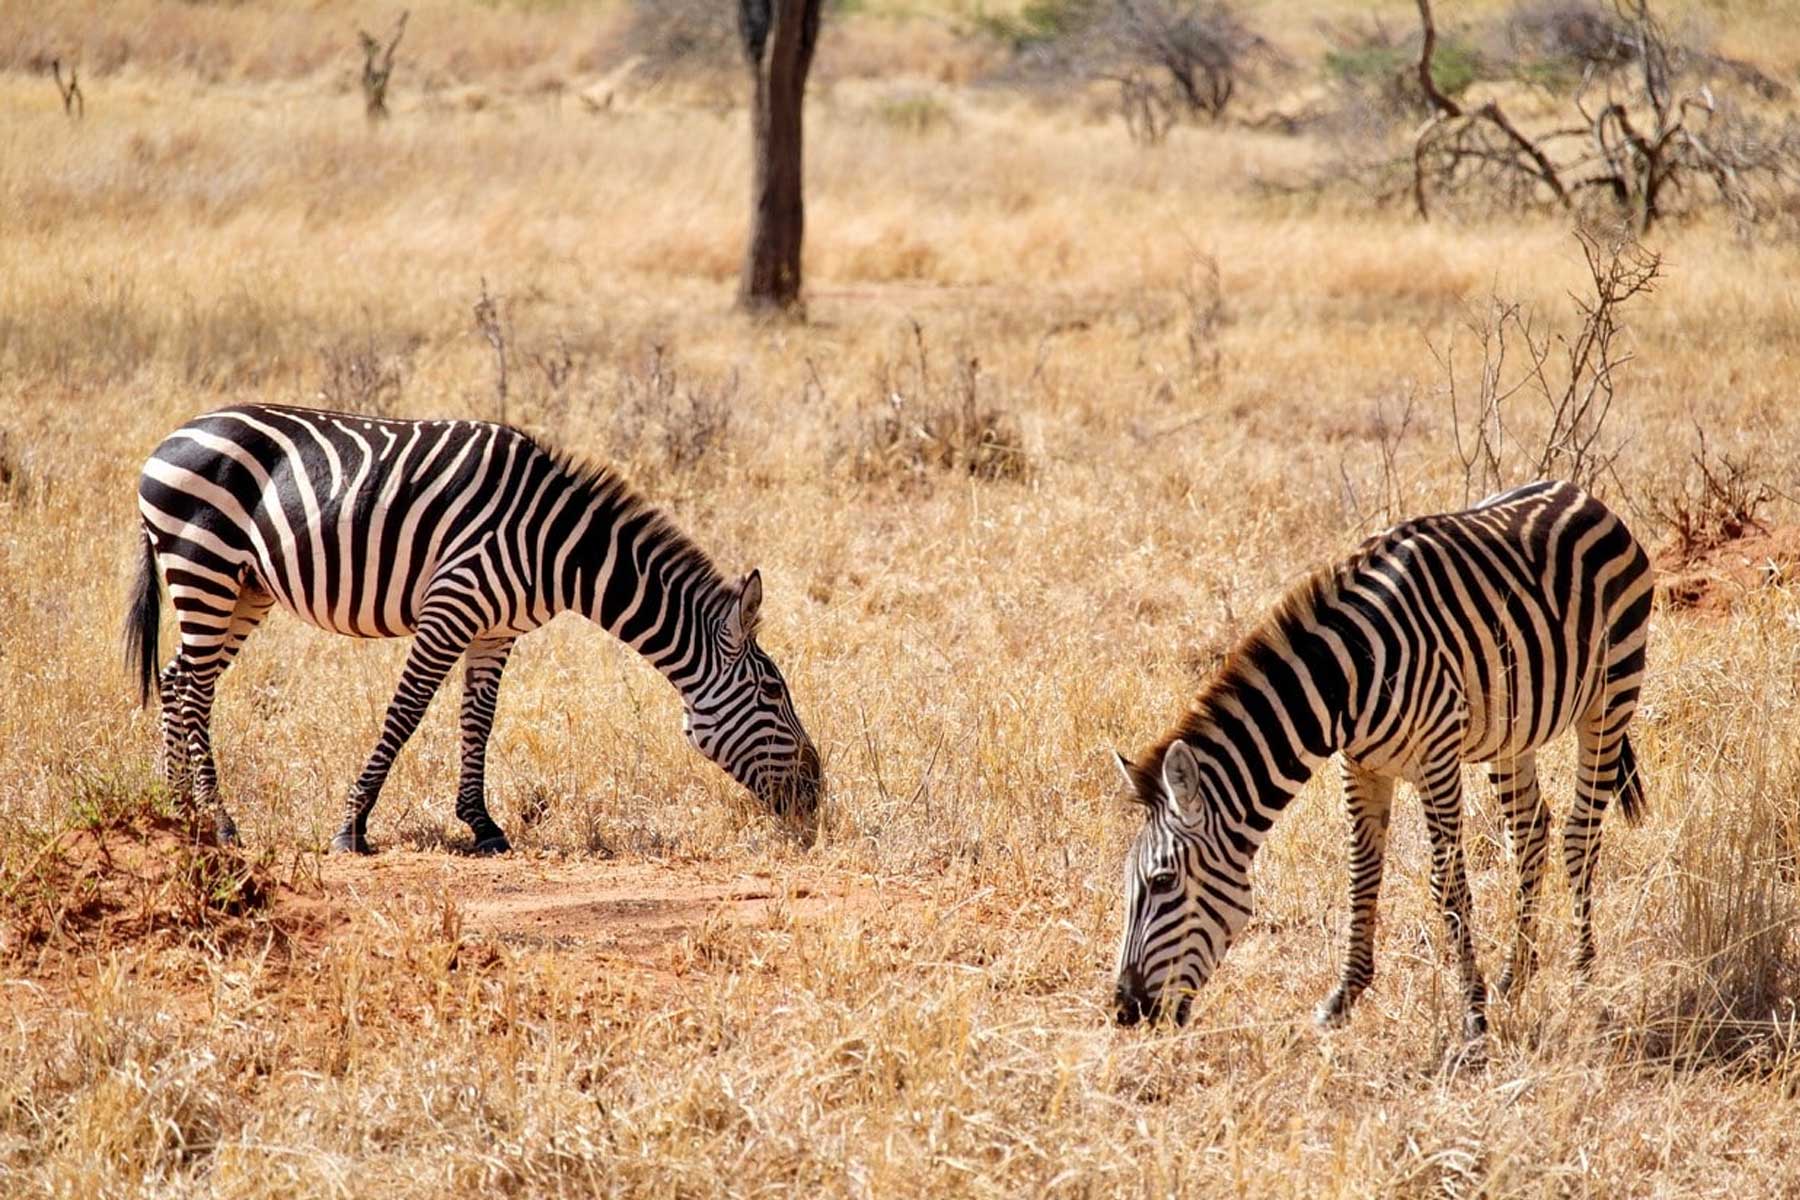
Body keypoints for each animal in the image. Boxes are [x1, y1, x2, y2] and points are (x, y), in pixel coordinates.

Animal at [125, 408, 824, 859]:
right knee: (192, 688)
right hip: (205, 564)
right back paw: (219, 822)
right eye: (772, 692)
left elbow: (478, 720)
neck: (558, 547)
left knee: (180, 678)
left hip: (244, 585)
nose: (817, 795)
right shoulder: (450, 607)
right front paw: (353, 826)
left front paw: (482, 826)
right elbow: (406, 713)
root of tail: (171, 437)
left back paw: (179, 811)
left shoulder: (496, 630)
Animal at [1116, 482, 1648, 1043]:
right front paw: (1344, 997)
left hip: (1611, 696)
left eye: (1163, 881)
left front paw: (1473, 1017)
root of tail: (1578, 492)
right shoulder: (1360, 764)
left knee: (1581, 835)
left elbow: (1448, 886)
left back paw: (1584, 981)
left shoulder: (1437, 758)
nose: (1125, 1009)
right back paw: (1516, 976)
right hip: (1512, 730)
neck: (1344, 678)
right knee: (1529, 833)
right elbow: (1362, 873)